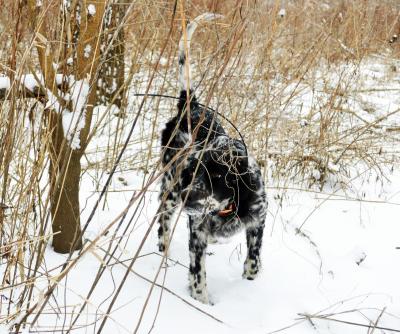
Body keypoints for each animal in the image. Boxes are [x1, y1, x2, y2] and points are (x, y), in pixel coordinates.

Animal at [158, 13, 268, 306]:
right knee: (162, 226)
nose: (188, 199)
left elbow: (253, 262)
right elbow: (198, 276)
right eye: (190, 173)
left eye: (215, 177)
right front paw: (202, 301)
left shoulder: (258, 220)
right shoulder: (197, 232)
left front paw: (249, 282)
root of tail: (190, 105)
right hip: (168, 190)